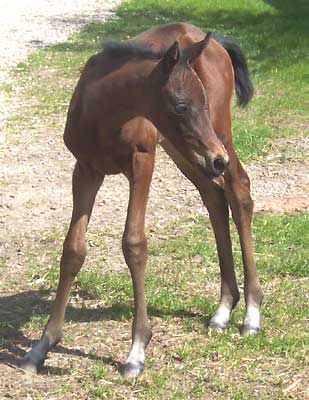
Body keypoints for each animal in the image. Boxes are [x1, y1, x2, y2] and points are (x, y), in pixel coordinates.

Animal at [21, 22, 262, 378]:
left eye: (203, 100)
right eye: (180, 105)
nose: (217, 159)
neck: (103, 114)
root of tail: (211, 39)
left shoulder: (142, 162)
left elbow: (134, 244)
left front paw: (136, 350)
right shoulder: (85, 170)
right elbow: (73, 249)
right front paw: (42, 345)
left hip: (217, 134)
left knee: (239, 191)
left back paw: (251, 314)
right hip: (183, 150)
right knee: (213, 197)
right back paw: (222, 309)